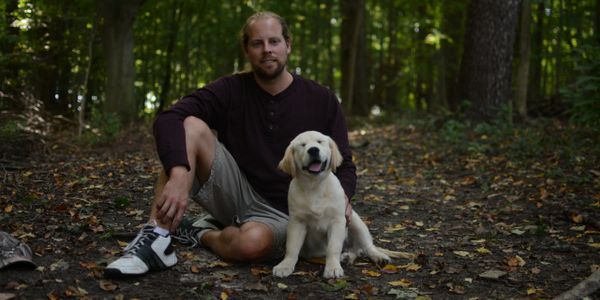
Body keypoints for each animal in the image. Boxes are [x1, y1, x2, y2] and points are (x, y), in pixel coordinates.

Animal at [274, 131, 394, 278]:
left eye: (320, 142)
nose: (313, 150)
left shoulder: (338, 220)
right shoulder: (297, 221)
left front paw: (333, 268)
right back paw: (347, 257)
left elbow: (334, 247)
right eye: (302, 145)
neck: (315, 186)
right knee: (355, 250)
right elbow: (291, 247)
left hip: (355, 221)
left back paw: (378, 257)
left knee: (367, 246)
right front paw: (285, 265)